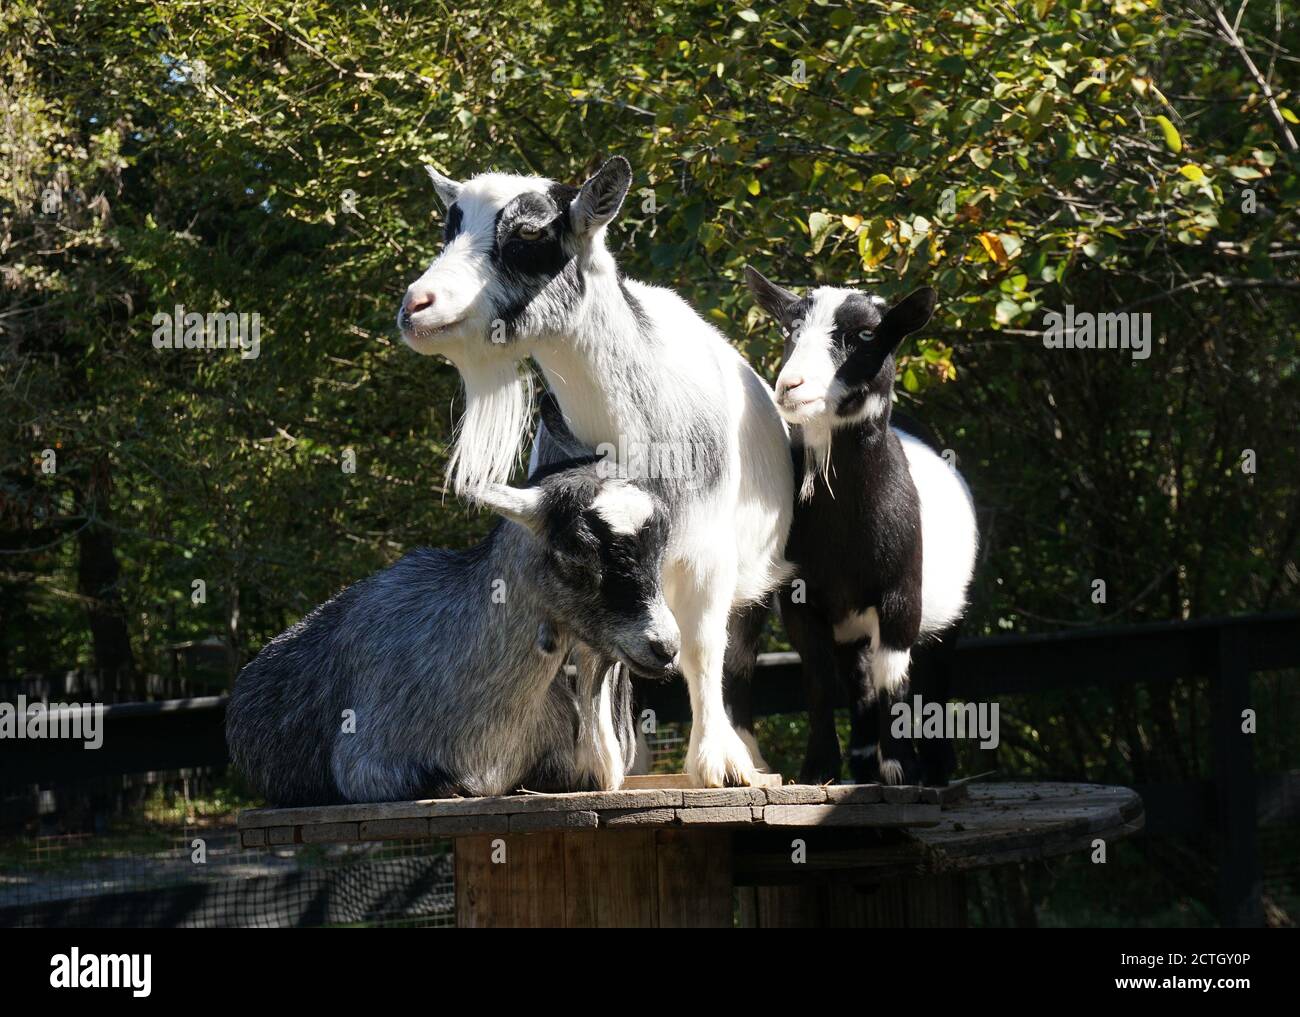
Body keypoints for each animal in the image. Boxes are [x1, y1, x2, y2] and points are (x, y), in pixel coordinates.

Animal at [743, 269, 977, 790]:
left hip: (948, 612)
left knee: (932, 676)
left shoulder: (902, 593)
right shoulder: (800, 597)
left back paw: (934, 768)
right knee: (859, 678)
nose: (790, 386)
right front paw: (818, 770)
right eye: (790, 328)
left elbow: (897, 677)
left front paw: (903, 768)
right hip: (852, 625)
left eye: (867, 335)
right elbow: (818, 679)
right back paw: (865, 760)